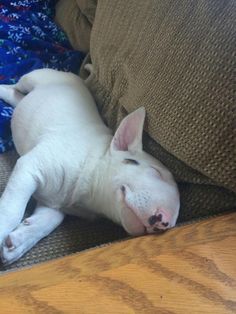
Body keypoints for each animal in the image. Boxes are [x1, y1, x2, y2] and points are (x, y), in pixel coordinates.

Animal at [0, 69, 179, 264]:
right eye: (156, 172)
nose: (165, 222)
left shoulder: (52, 202)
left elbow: (50, 220)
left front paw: (17, 242)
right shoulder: (31, 165)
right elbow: (11, 210)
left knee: (16, 97)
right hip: (33, 78)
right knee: (14, 86)